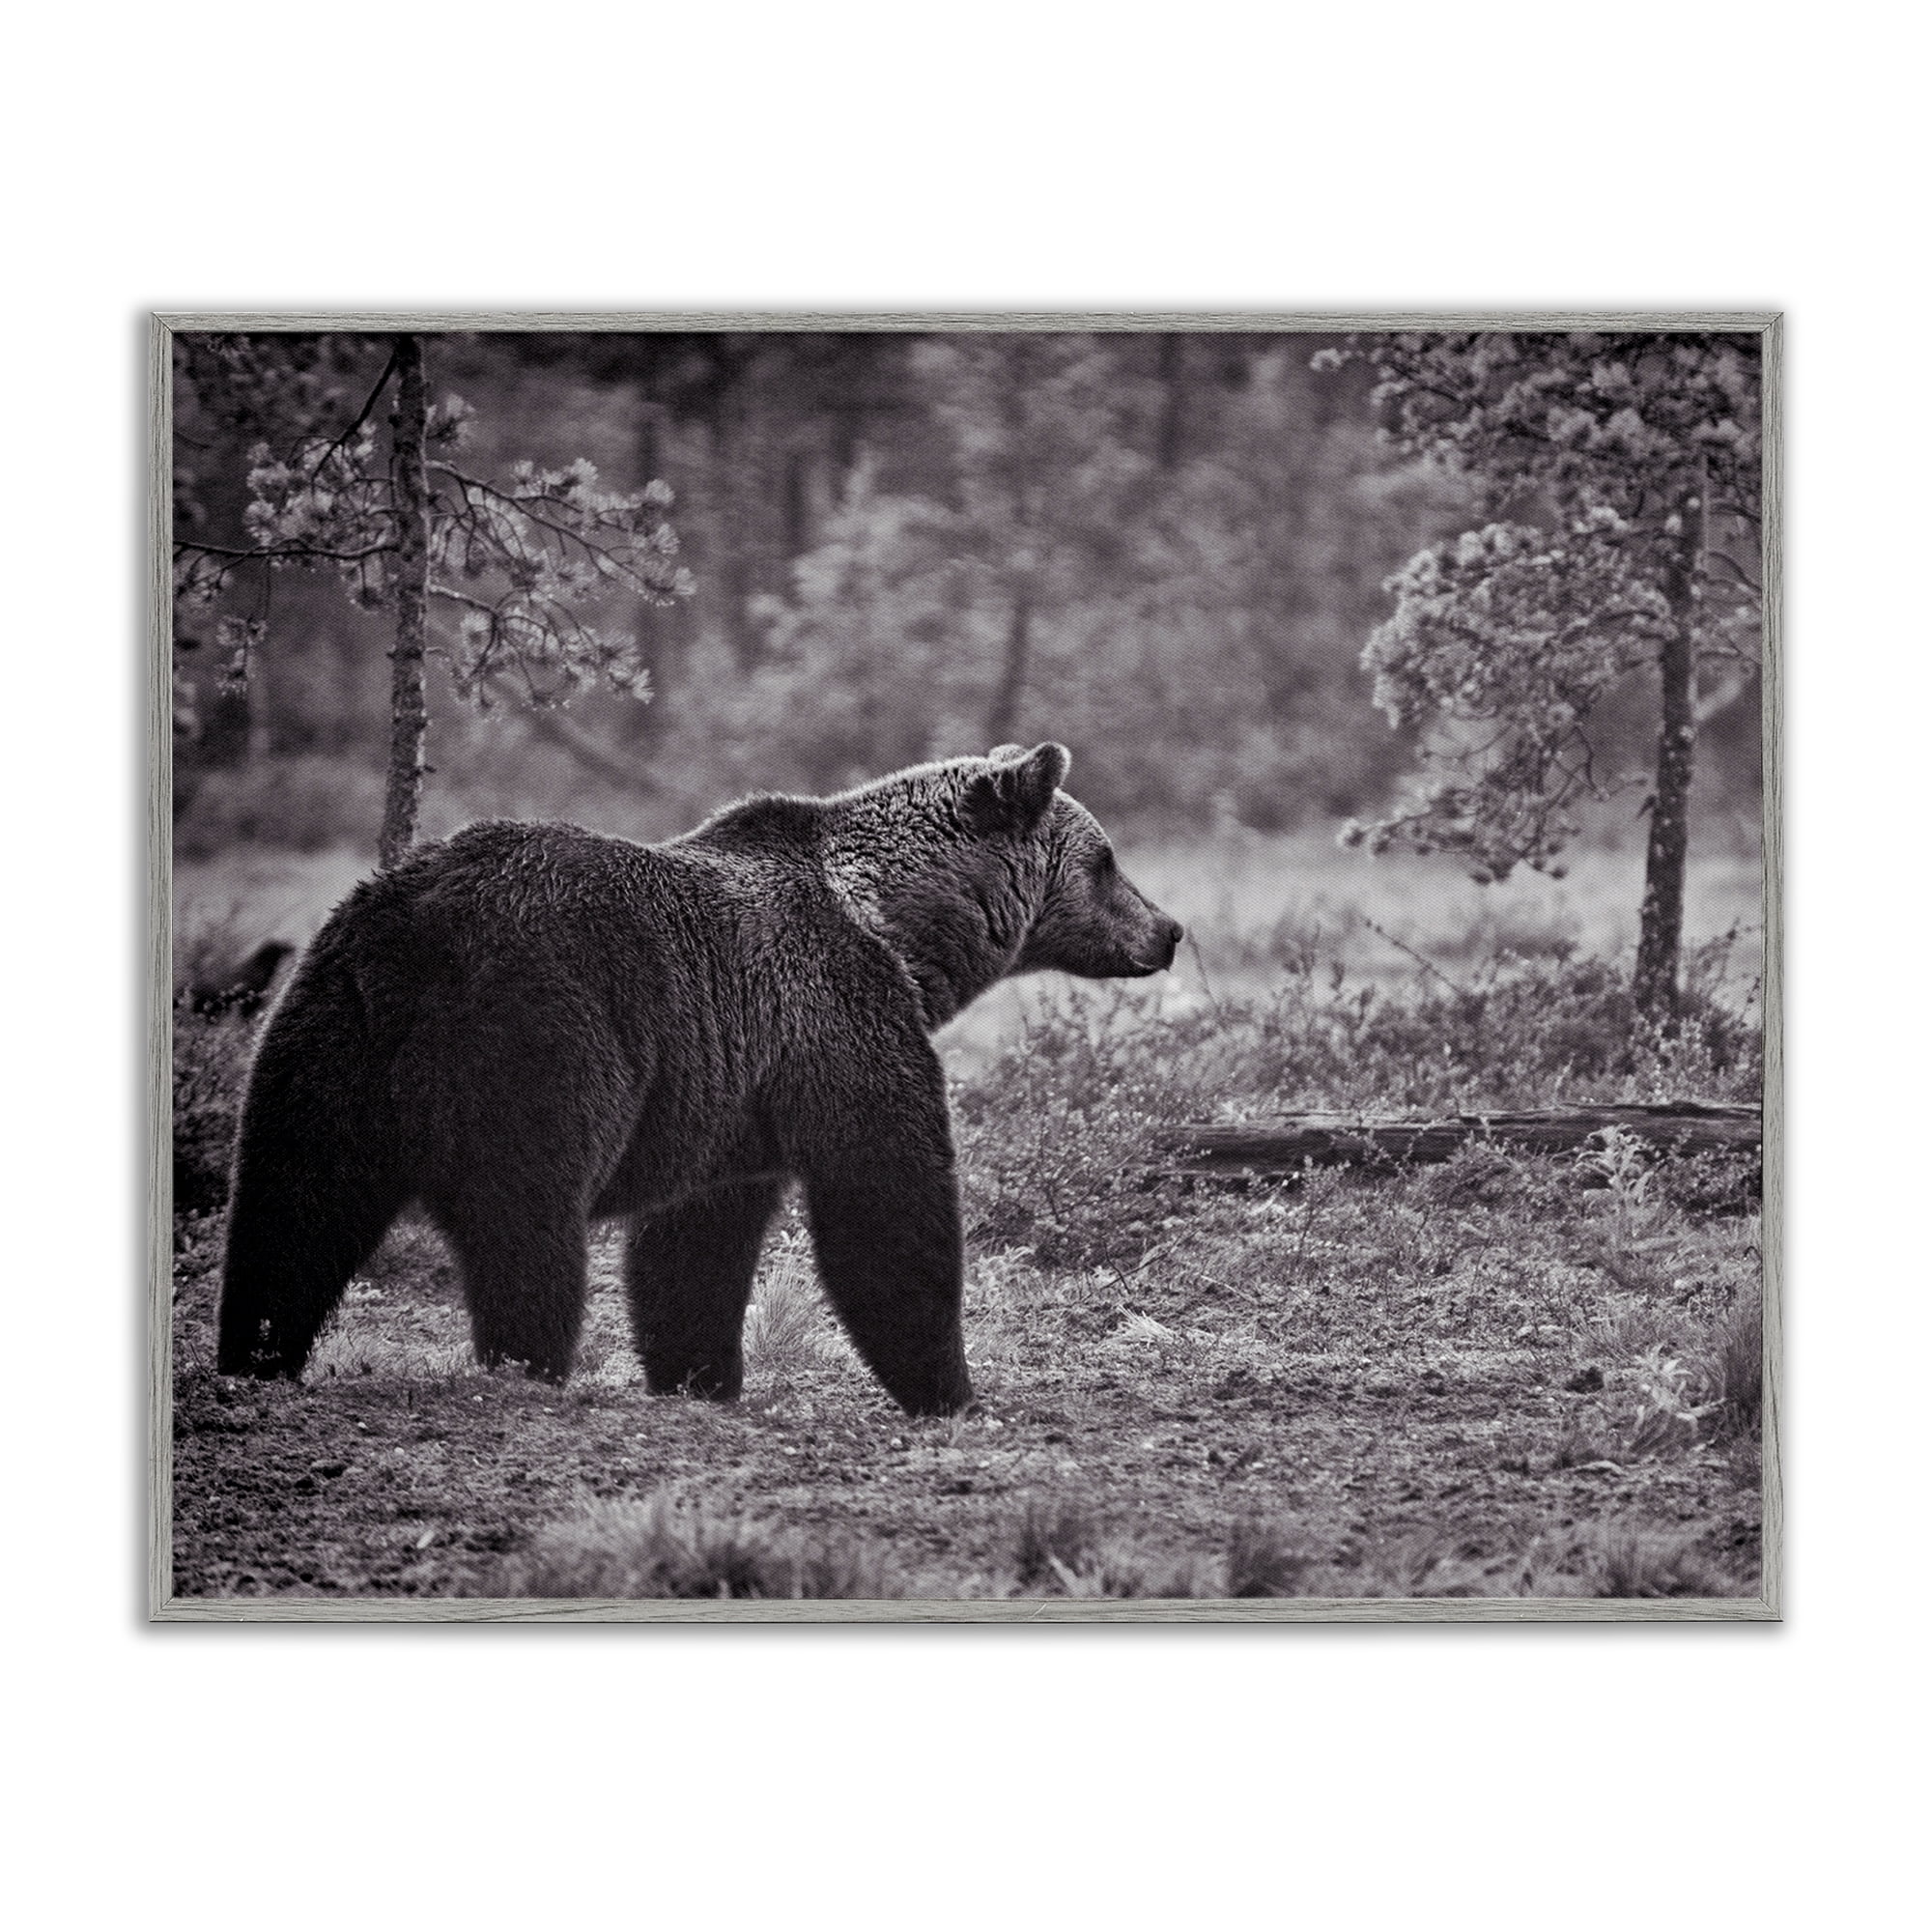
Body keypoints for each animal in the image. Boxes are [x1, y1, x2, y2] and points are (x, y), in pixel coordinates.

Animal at [214, 742, 1183, 1416]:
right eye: (1106, 859)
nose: (1169, 929)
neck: (897, 930)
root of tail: (410, 932)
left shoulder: (730, 1090)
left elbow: (695, 1243)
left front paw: (698, 1374)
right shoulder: (836, 1018)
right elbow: (886, 1199)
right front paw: (947, 1387)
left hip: (324, 1034)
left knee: (291, 1206)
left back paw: (255, 1355)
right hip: (539, 1034)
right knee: (525, 1220)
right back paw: (526, 1364)